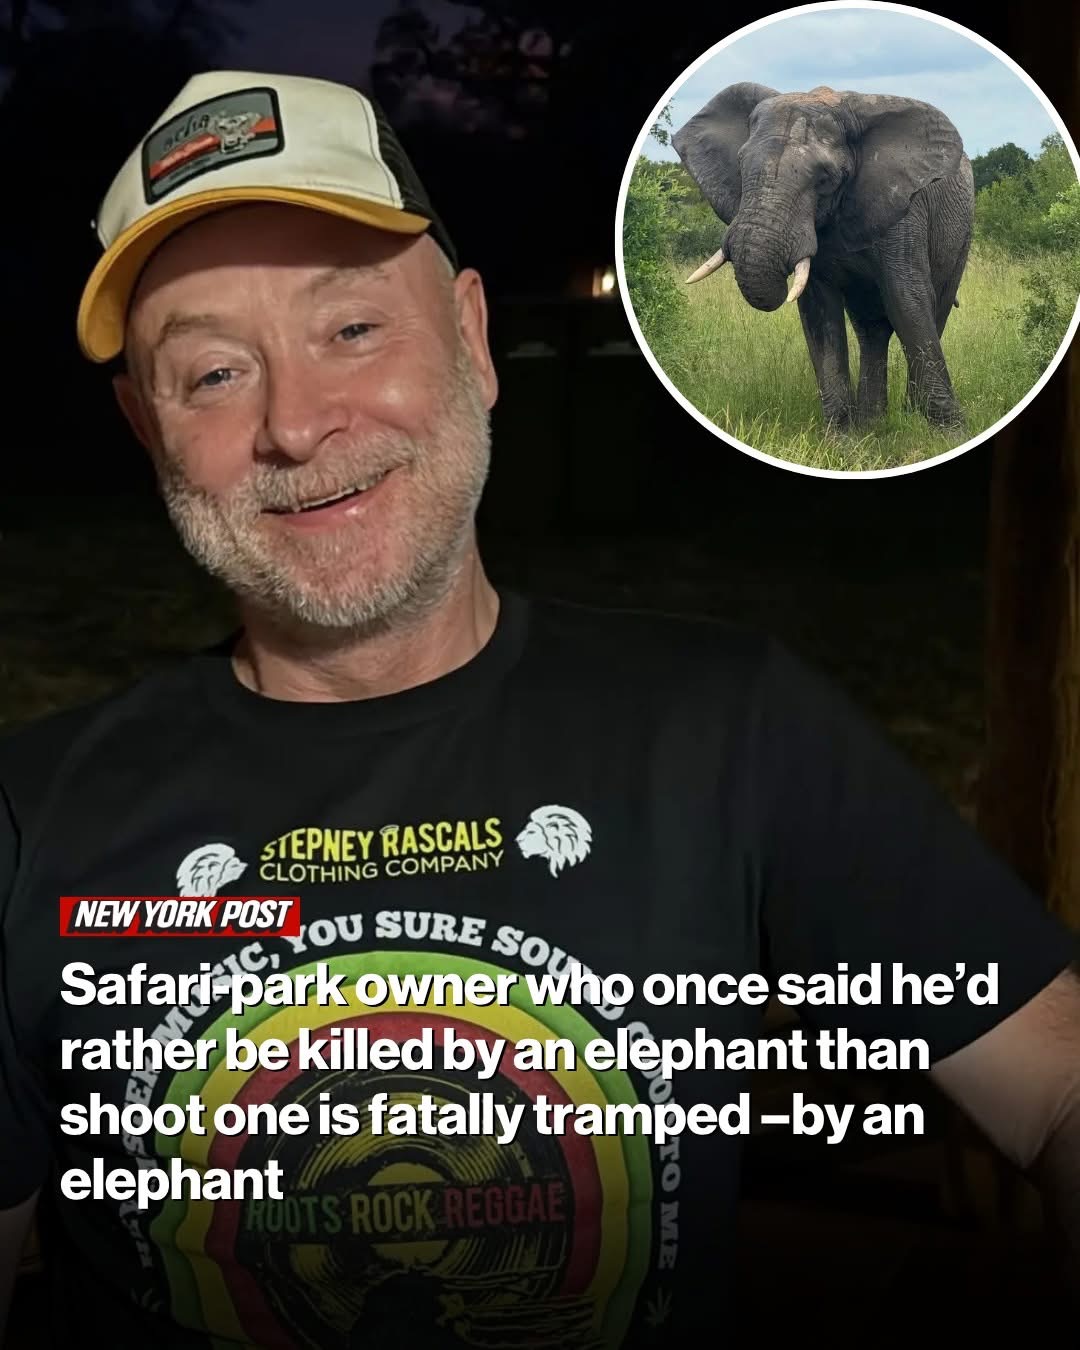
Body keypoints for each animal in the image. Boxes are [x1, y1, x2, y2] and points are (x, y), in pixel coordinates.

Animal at [671, 83, 975, 431]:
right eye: (741, 163)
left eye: (826, 177)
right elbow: (820, 311)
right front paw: (841, 438)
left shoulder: (902, 209)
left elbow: (907, 300)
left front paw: (949, 433)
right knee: (871, 328)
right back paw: (872, 425)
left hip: (961, 233)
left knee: (934, 308)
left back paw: (904, 414)